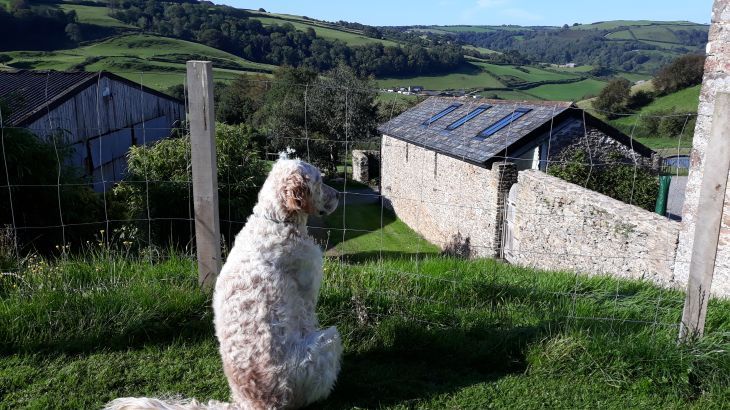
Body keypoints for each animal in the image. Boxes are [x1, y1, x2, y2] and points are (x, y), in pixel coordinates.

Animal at [105, 159, 342, 410]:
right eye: (319, 181)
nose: (338, 194)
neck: (276, 219)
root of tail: (255, 403)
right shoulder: (308, 295)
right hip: (330, 338)